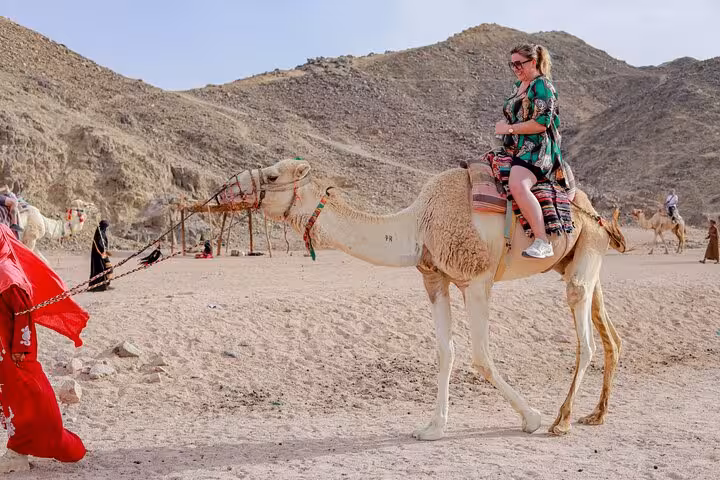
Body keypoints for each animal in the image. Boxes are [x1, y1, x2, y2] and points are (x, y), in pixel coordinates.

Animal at [218, 158, 626, 438]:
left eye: (273, 176)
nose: (227, 189)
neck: (416, 224)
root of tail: (595, 211)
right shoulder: (435, 278)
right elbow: (446, 351)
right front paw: (433, 427)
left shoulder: (476, 279)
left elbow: (481, 356)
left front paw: (532, 418)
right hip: (579, 258)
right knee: (610, 333)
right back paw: (597, 414)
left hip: (585, 246)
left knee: (585, 332)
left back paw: (562, 420)